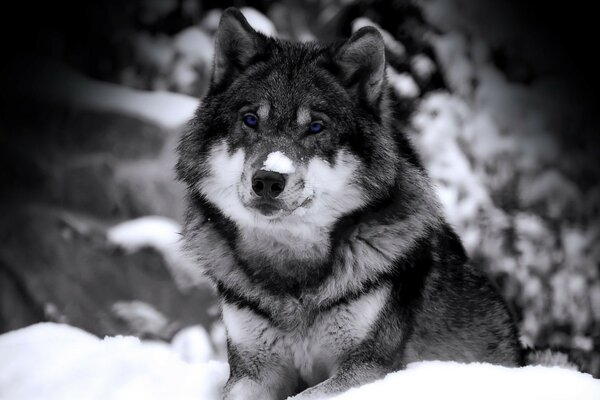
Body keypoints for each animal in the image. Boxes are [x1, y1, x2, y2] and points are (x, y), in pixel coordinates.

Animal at [176, 7, 524, 400]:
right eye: (250, 120)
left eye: (315, 127)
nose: (268, 179)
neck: (292, 273)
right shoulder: (252, 371)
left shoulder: (367, 368)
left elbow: (305, 396)